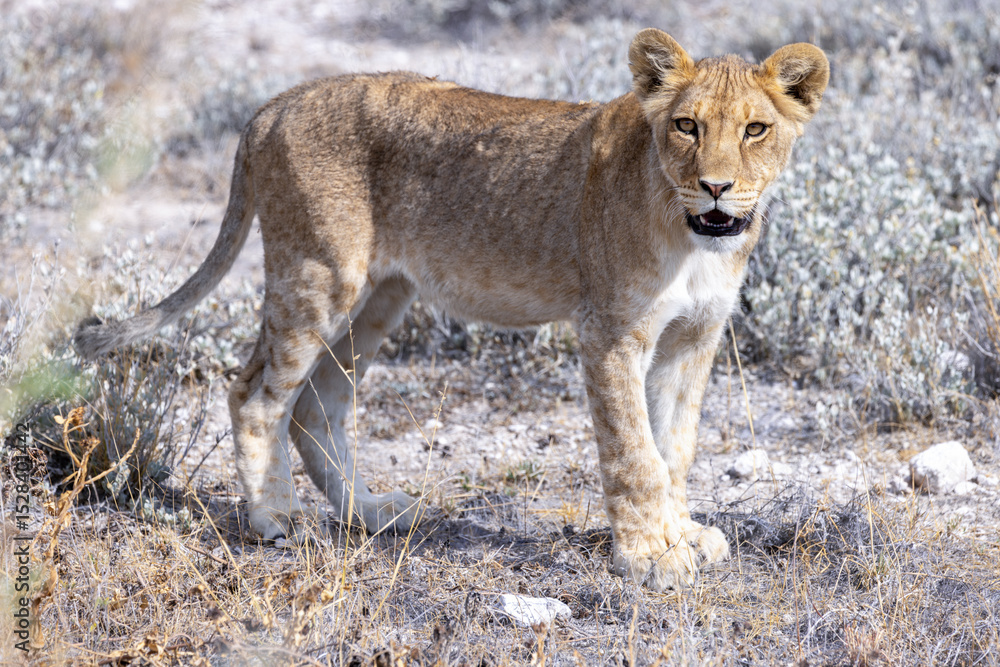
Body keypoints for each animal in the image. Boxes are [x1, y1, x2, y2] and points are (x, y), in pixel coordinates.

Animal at [75, 29, 828, 590]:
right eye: (686, 126)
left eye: (756, 129)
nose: (716, 187)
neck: (695, 238)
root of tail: (277, 103)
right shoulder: (610, 333)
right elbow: (633, 453)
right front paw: (649, 556)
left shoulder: (693, 338)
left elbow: (674, 447)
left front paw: (683, 535)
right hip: (317, 273)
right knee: (256, 393)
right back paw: (277, 519)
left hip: (382, 294)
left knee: (318, 404)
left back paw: (372, 512)